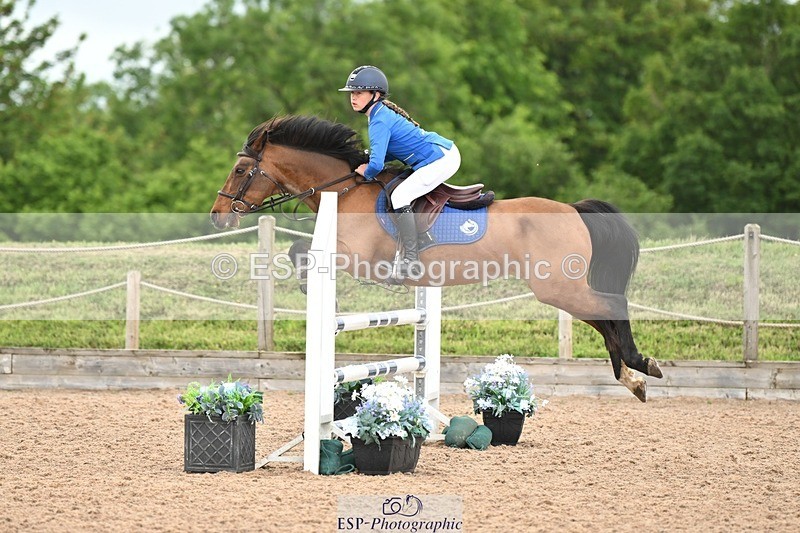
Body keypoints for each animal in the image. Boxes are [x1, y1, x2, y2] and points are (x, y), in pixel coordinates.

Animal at [210, 115, 663, 401]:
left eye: (239, 170)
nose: (217, 216)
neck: (345, 190)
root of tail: (573, 209)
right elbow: (296, 250)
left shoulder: (357, 257)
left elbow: (302, 251)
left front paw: (312, 288)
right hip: (560, 288)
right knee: (603, 315)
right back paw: (632, 377)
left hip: (557, 286)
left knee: (613, 304)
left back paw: (640, 365)